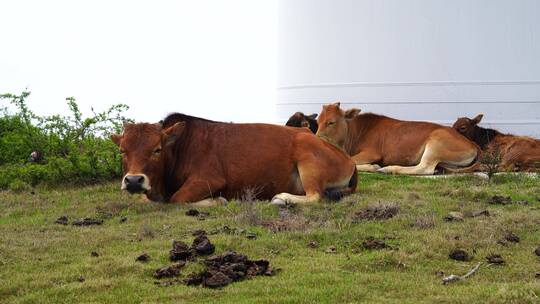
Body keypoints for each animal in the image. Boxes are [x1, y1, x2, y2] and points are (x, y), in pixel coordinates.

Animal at [111, 113, 356, 207]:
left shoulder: (210, 179)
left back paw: (282, 198)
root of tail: (349, 160)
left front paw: (217, 201)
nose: (134, 181)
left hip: (307, 160)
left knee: (316, 196)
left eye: (157, 149)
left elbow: (177, 199)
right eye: (122, 150)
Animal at [316, 102, 480, 175]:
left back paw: (388, 168)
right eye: (317, 121)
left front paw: (374, 167)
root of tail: (472, 143)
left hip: (435, 144)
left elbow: (352, 160)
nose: (317, 139)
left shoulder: (372, 152)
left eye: (331, 122)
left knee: (425, 168)